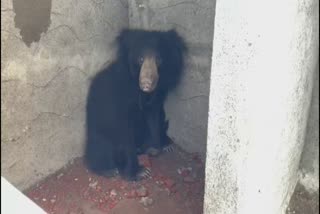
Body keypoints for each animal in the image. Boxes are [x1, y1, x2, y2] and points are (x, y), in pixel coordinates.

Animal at [85, 28, 186, 181]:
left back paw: (165, 144)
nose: (146, 83)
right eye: (140, 59)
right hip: (98, 131)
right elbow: (125, 133)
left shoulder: (157, 94)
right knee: (100, 146)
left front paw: (154, 148)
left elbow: (154, 116)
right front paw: (140, 171)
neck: (138, 89)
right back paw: (108, 169)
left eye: (158, 59)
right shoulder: (118, 100)